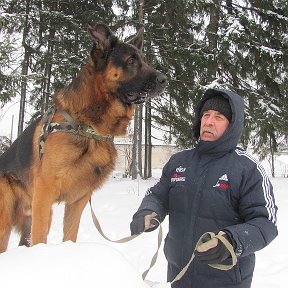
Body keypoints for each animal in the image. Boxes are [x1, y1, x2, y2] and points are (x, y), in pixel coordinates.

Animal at [0, 23, 166, 251]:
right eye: (131, 61)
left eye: (144, 60)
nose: (165, 80)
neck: (88, 126)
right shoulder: (44, 194)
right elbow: (40, 239)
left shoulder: (77, 200)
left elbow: (70, 236)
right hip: (7, 220)